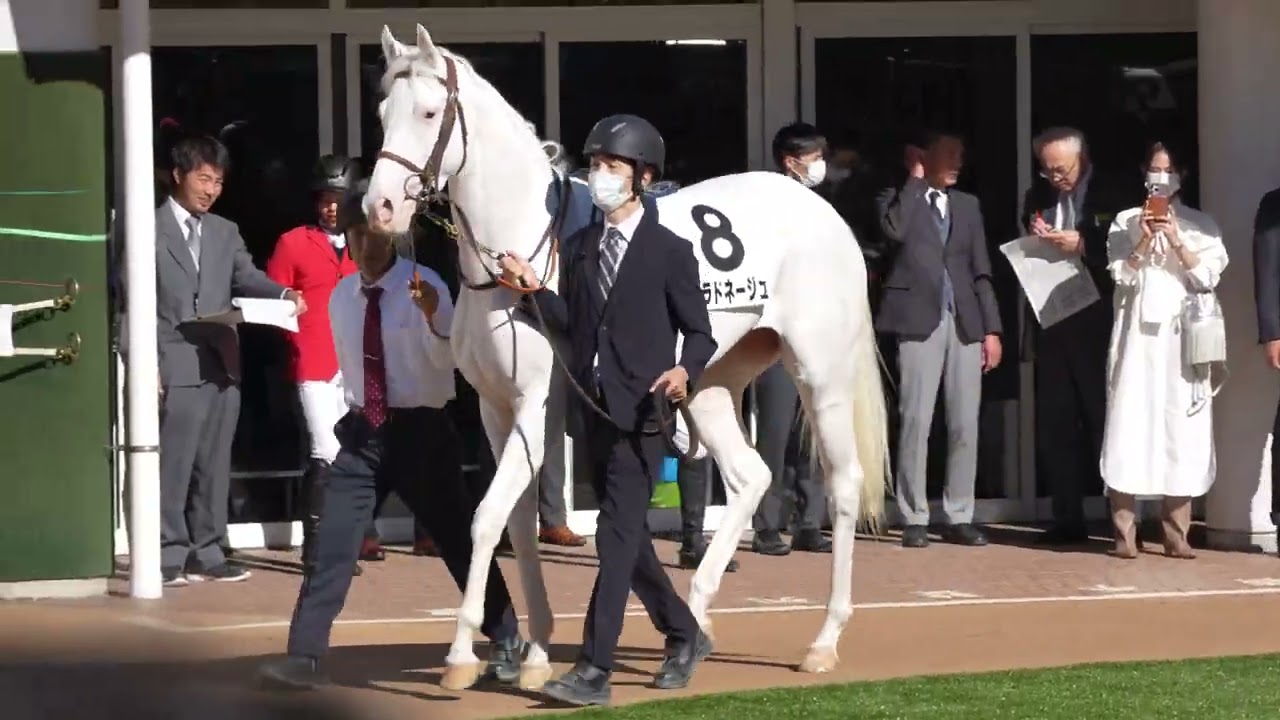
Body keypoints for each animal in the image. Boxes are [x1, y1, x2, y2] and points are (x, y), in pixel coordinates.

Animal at [364, 24, 891, 691]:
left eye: (430, 114)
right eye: (384, 113)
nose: (379, 209)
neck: (520, 259)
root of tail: (820, 209)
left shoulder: (537, 403)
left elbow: (487, 517)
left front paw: (461, 656)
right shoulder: (495, 406)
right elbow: (517, 522)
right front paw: (535, 652)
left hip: (820, 374)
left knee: (844, 483)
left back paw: (822, 641)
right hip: (708, 382)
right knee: (750, 475)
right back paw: (694, 627)